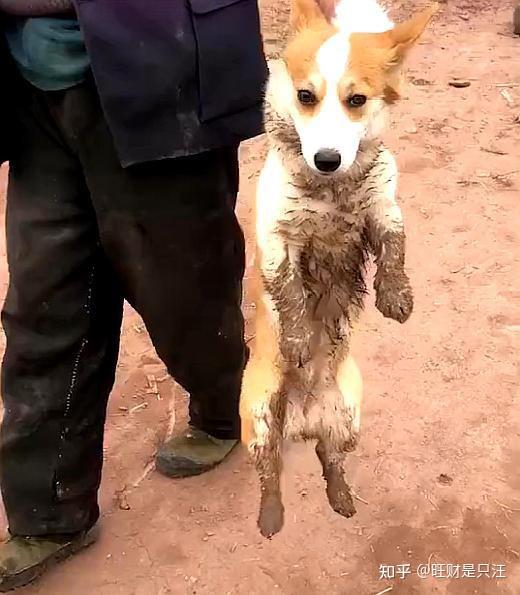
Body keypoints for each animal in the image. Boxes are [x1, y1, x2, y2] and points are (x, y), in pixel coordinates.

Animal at [242, 0, 436, 540]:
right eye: (305, 96)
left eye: (357, 99)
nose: (326, 159)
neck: (330, 192)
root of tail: (304, 420)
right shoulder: (277, 240)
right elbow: (289, 293)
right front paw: (297, 341)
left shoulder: (381, 208)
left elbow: (395, 244)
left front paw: (396, 297)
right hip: (258, 417)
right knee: (270, 472)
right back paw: (270, 517)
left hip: (349, 417)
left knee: (330, 459)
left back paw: (341, 497)